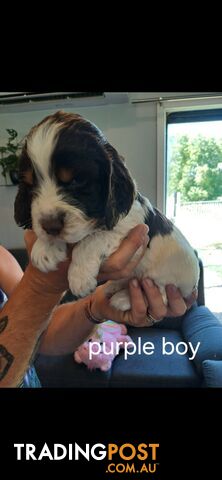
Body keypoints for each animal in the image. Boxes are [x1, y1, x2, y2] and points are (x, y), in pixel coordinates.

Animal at [14, 111, 200, 316]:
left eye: (77, 181)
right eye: (30, 184)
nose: (50, 226)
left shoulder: (128, 225)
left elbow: (91, 240)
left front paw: (79, 277)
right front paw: (44, 249)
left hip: (167, 278)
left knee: (161, 292)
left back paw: (123, 299)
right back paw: (114, 286)